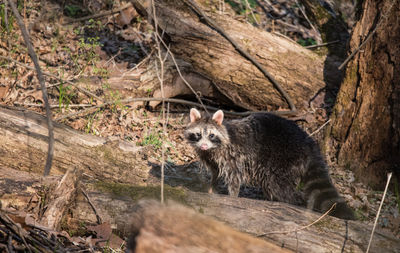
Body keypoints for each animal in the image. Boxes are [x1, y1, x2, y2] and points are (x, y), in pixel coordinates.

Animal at [184, 108, 356, 219]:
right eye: (198, 134)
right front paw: (210, 190)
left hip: (283, 159)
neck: (212, 149)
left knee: (277, 186)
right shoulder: (212, 159)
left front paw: (232, 199)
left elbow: (234, 180)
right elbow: (215, 174)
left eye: (211, 135)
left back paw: (292, 203)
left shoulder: (233, 157)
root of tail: (309, 143)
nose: (203, 146)